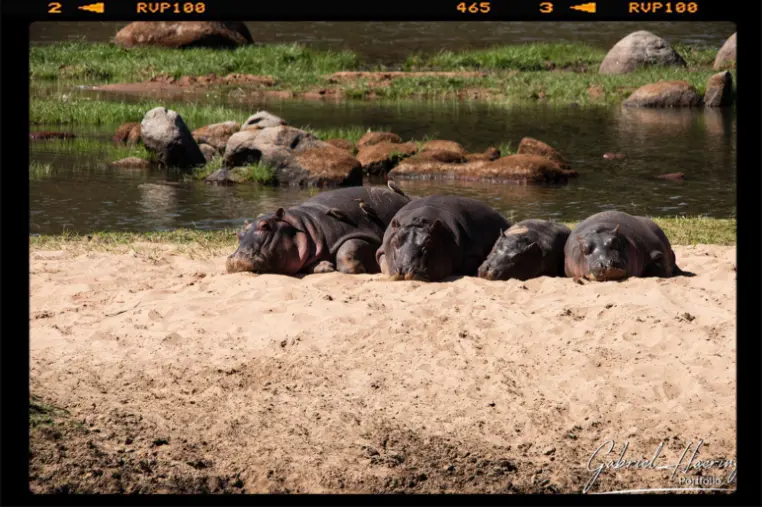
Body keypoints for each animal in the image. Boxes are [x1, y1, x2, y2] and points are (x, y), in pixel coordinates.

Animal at [227, 183, 410, 275]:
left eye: (265, 225)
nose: (236, 259)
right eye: (238, 234)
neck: (304, 227)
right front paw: (325, 266)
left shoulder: (360, 233)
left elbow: (347, 250)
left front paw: (360, 269)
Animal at [377, 195, 511, 282]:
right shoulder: (382, 250)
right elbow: (383, 263)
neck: (418, 222)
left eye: (429, 242)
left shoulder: (472, 253)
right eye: (395, 241)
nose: (406, 269)